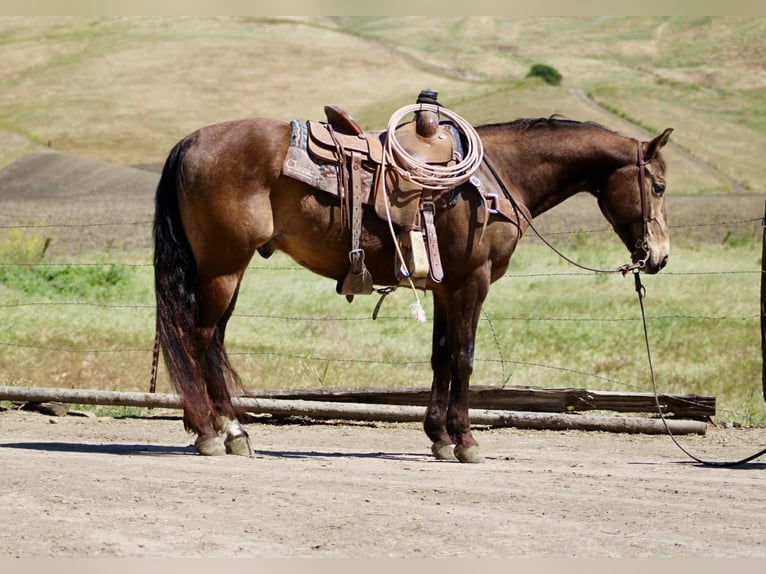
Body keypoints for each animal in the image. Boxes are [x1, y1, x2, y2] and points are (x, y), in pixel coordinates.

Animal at [153, 112, 673, 462]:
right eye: (660, 186)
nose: (659, 257)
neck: (497, 177)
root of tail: (191, 141)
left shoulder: (447, 288)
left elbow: (441, 356)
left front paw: (438, 437)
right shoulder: (472, 282)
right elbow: (463, 356)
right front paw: (466, 440)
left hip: (227, 270)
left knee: (212, 341)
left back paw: (231, 431)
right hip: (223, 267)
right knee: (198, 338)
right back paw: (212, 432)